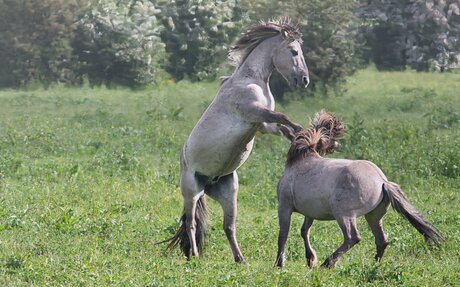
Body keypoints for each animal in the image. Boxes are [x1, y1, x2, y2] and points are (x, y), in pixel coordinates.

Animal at [164, 20, 310, 264]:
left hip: (229, 193)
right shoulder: (253, 112)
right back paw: (195, 256)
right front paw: (305, 132)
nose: (304, 80)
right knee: (191, 224)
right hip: (191, 192)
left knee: (228, 226)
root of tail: (208, 182)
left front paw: (304, 139)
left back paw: (240, 259)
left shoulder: (261, 125)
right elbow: (283, 117)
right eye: (294, 51)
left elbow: (281, 126)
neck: (251, 79)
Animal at [274, 111, 444, 268]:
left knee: (353, 237)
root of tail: (382, 182)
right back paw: (374, 265)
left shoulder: (285, 206)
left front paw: (279, 263)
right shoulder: (310, 212)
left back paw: (328, 263)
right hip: (373, 216)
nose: (335, 146)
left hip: (344, 214)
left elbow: (283, 234)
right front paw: (310, 259)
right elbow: (304, 231)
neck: (299, 160)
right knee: (381, 240)